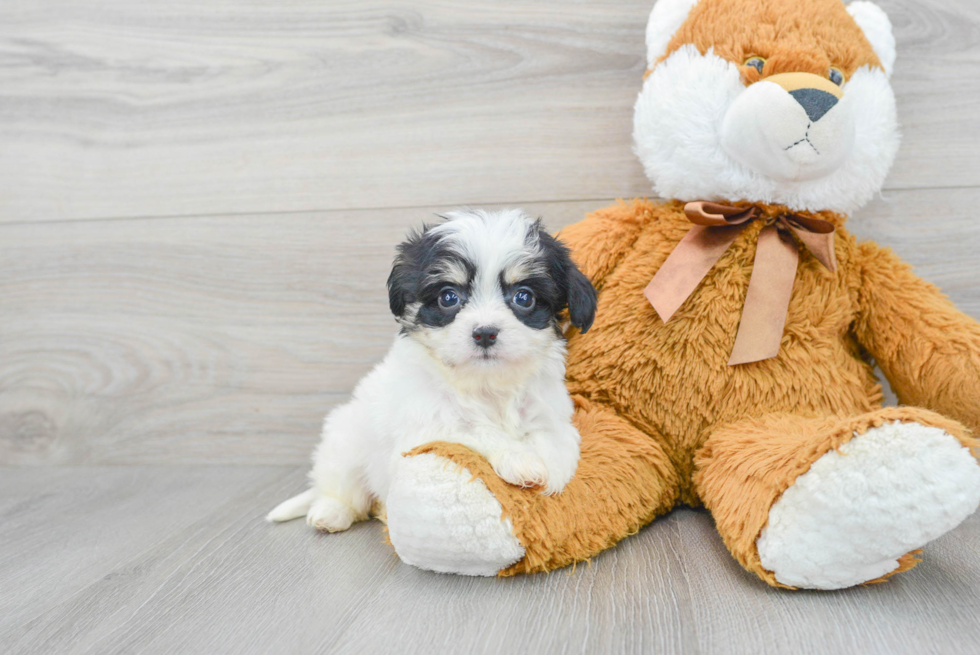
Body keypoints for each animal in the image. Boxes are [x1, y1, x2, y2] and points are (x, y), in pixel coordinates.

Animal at [264, 210, 596, 532]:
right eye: (448, 297)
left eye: (524, 297)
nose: (485, 333)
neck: (486, 385)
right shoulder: (428, 427)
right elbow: (476, 430)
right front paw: (520, 460)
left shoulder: (549, 412)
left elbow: (555, 438)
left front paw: (554, 472)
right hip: (345, 445)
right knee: (343, 490)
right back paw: (330, 513)